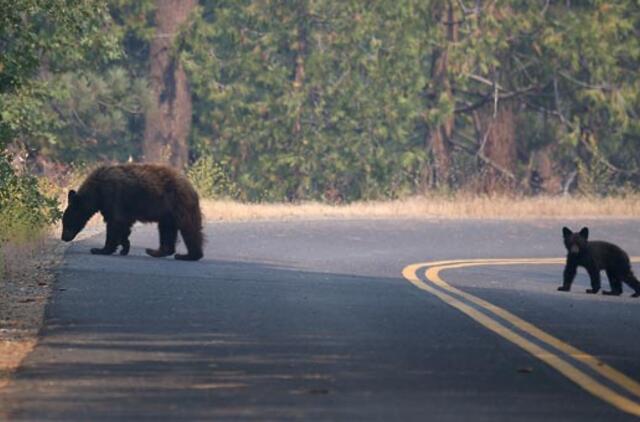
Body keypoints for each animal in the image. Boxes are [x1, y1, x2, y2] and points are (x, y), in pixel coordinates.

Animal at [61, 164, 202, 260]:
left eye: (67, 223)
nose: (63, 238)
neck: (97, 192)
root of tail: (190, 185)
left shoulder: (113, 196)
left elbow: (115, 223)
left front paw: (100, 249)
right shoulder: (117, 207)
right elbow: (123, 226)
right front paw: (125, 247)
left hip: (180, 204)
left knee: (189, 228)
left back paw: (188, 255)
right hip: (168, 214)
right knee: (166, 229)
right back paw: (157, 251)